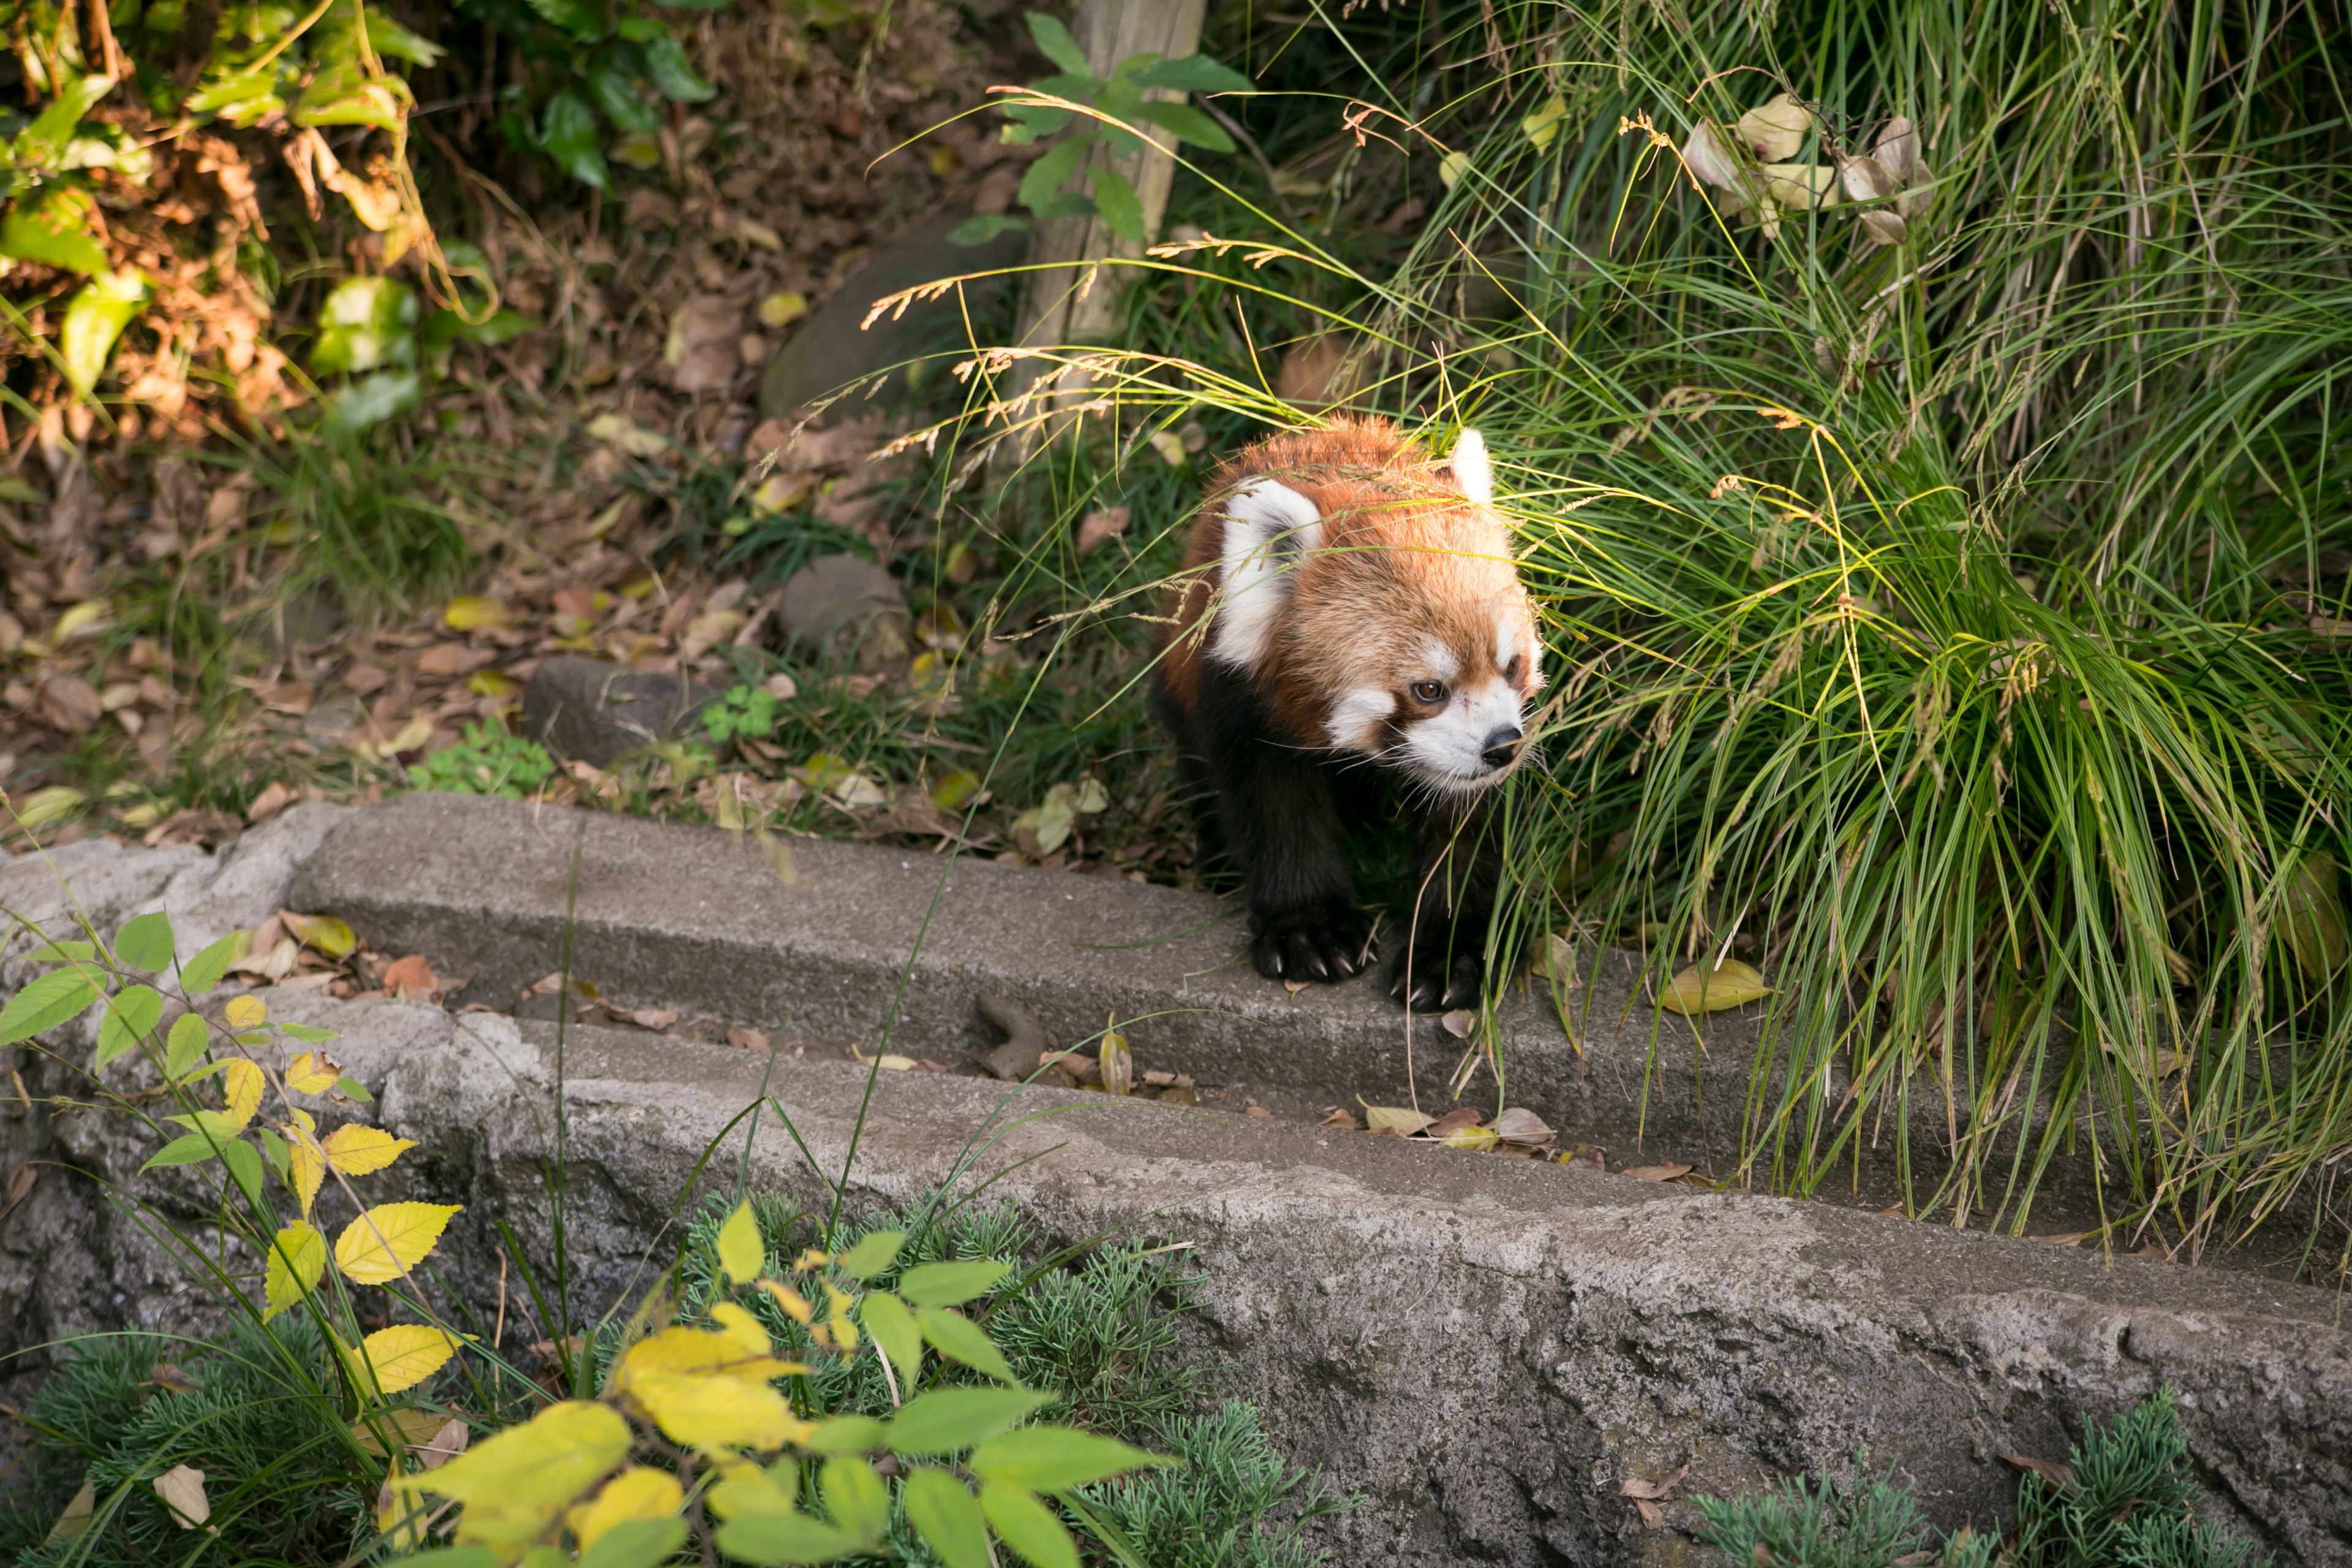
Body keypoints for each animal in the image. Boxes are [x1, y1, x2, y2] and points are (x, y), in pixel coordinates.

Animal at [1152, 413, 1543, 1006]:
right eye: (1429, 689)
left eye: (1513, 665)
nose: (1502, 746)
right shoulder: (1239, 693)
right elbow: (1275, 807)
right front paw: (1310, 929)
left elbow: (1465, 828)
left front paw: (1455, 950)